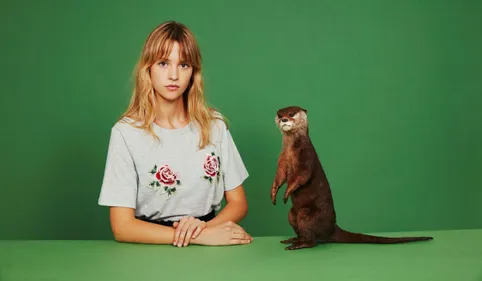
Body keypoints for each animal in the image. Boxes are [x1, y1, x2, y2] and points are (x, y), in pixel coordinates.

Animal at [272, 105, 434, 249]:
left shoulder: (307, 156)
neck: (292, 152)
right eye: (279, 114)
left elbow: (301, 176)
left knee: (312, 238)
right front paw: (273, 194)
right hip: (292, 213)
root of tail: (332, 227)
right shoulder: (282, 160)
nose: (284, 119)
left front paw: (286, 194)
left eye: (291, 114)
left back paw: (299, 244)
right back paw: (293, 239)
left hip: (307, 213)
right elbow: (280, 176)